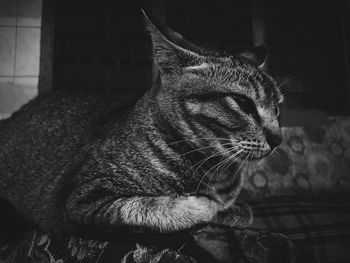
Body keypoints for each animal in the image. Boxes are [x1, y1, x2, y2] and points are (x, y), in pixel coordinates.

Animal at [0, 11, 284, 239]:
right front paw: (204, 206)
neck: (214, 173)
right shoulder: (82, 199)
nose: (278, 139)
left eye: (278, 108)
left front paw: (229, 209)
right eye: (243, 103)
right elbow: (149, 206)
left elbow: (243, 211)